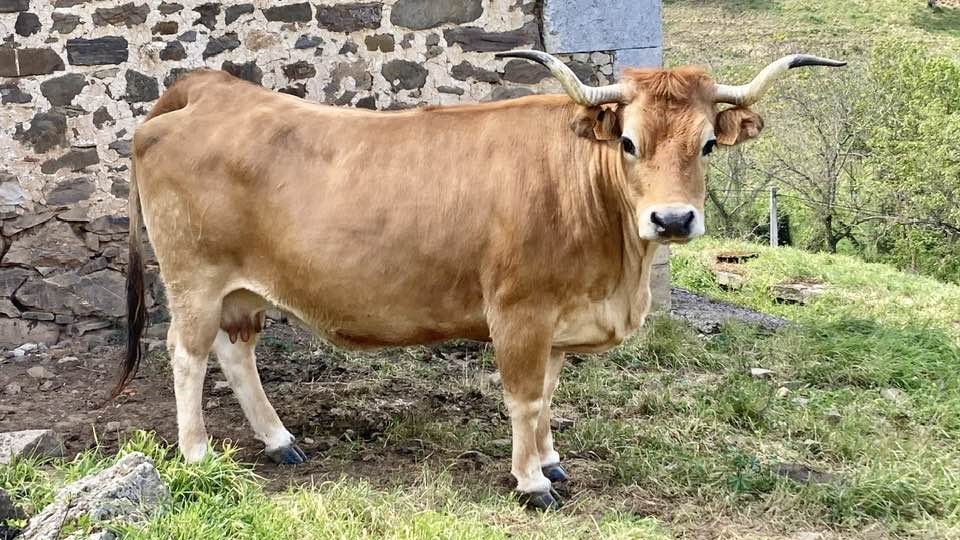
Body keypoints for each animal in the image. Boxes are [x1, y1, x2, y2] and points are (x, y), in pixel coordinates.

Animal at [115, 51, 844, 509]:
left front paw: (550, 460)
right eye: (629, 142)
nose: (671, 218)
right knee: (186, 355)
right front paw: (532, 483)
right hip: (195, 279)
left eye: (708, 144)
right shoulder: (519, 311)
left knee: (235, 354)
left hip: (240, 288)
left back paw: (280, 442)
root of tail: (210, 90)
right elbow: (523, 397)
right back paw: (197, 453)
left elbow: (548, 396)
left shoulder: (557, 318)